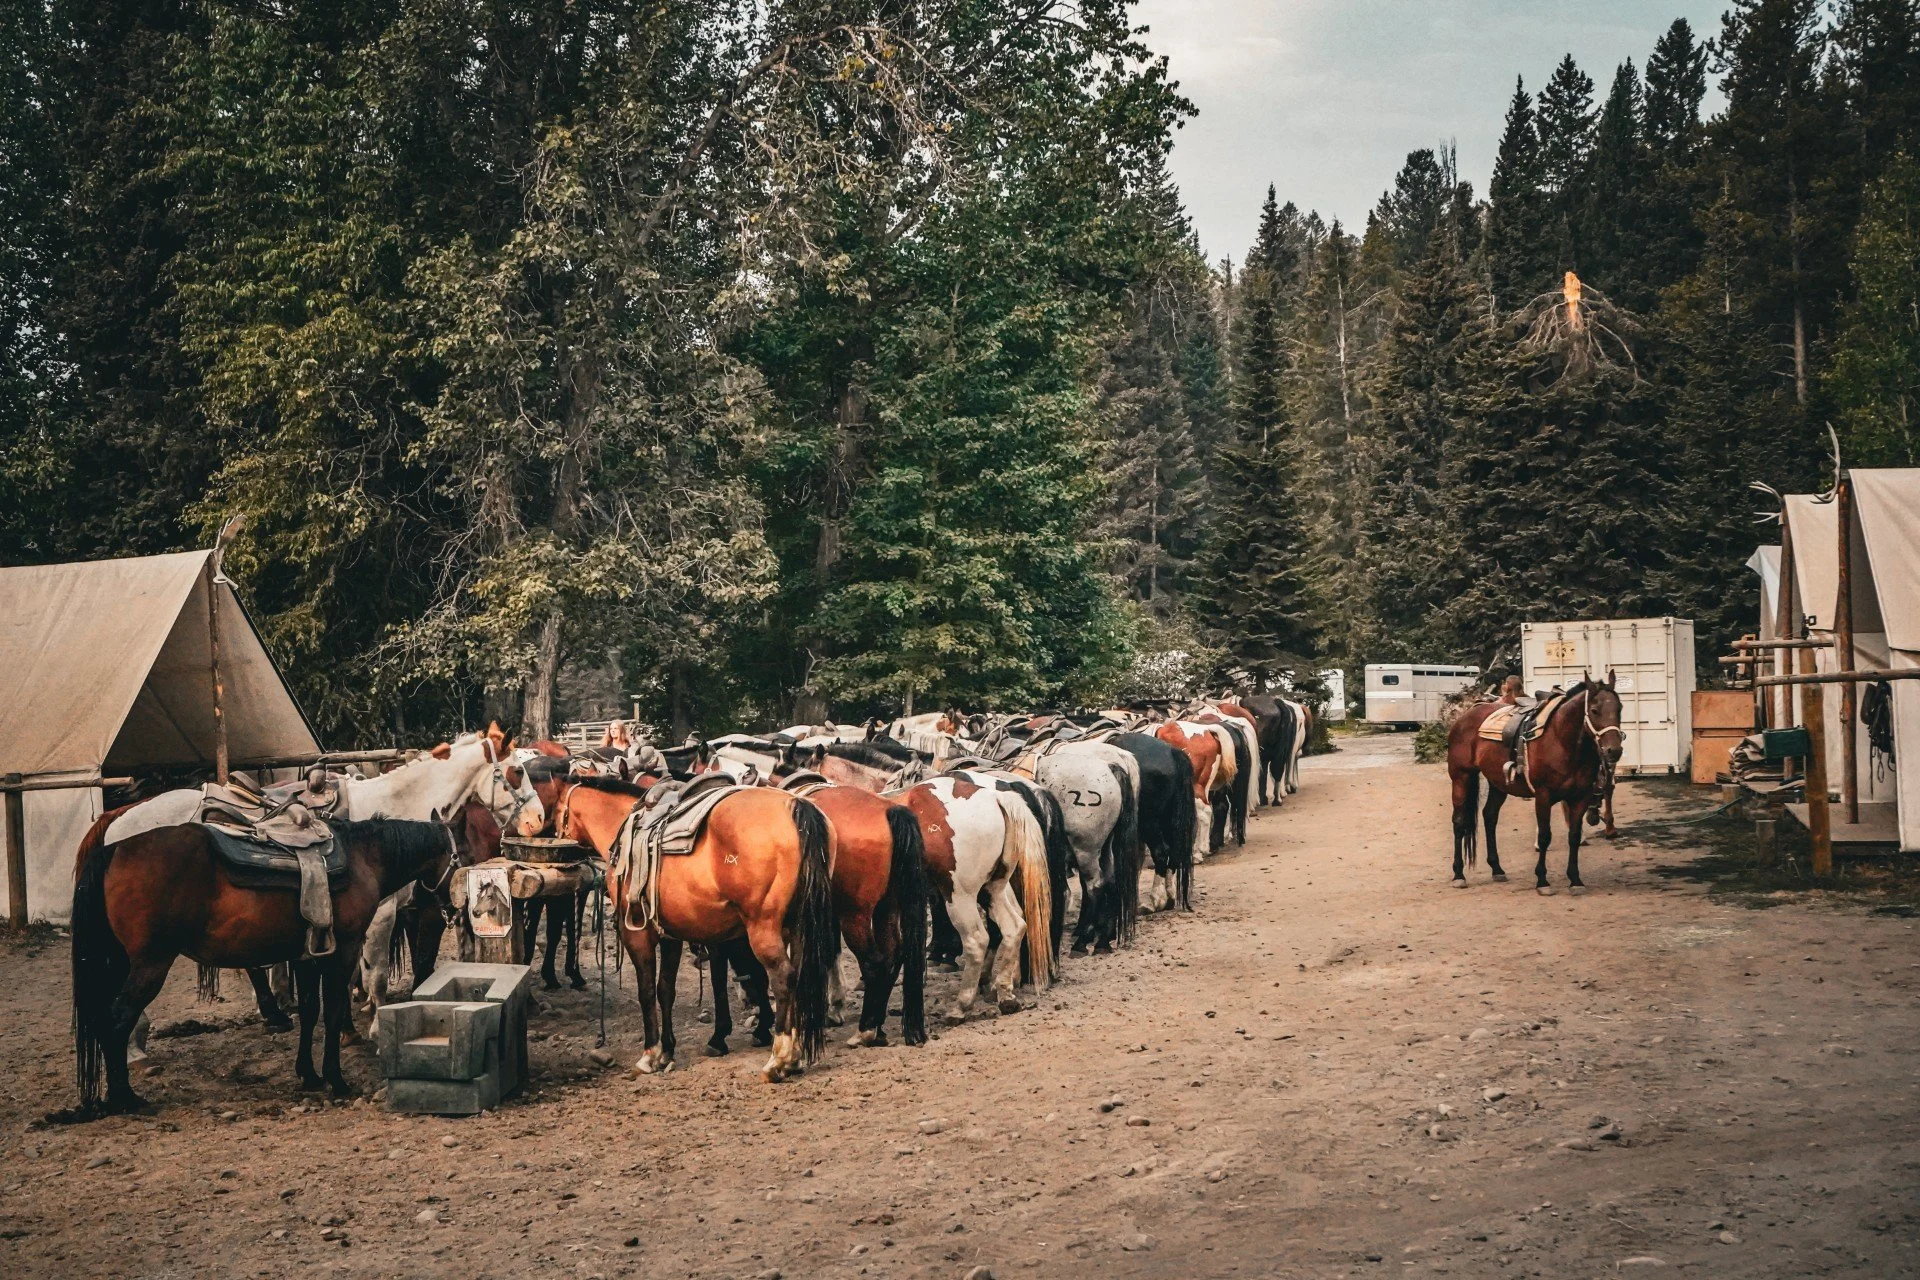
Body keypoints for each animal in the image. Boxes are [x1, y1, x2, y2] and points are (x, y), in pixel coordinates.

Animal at [65, 816, 470, 1117]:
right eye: (463, 855)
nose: (457, 909)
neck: (363, 858)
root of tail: (113, 850)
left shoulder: (308, 955)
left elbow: (310, 1011)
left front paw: (309, 1074)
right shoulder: (344, 950)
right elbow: (333, 1010)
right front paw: (336, 1079)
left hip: (120, 963)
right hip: (150, 965)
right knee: (117, 1019)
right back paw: (125, 1098)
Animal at [554, 779, 836, 1081]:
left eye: (556, 810)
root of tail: (797, 805)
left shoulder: (637, 933)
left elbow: (646, 991)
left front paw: (650, 1054)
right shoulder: (671, 936)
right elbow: (665, 989)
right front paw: (667, 1051)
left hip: (763, 927)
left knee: (783, 977)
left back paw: (779, 1060)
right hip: (799, 927)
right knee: (799, 976)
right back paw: (794, 1056)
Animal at [1446, 677, 1626, 893]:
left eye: (1619, 708)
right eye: (1594, 710)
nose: (1614, 750)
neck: (1562, 740)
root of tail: (1464, 717)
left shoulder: (1580, 797)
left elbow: (1574, 836)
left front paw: (1575, 880)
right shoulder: (1543, 796)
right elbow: (1545, 837)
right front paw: (1542, 880)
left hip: (1498, 783)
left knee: (1489, 816)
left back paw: (1497, 869)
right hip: (1461, 777)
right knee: (1459, 821)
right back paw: (1458, 874)